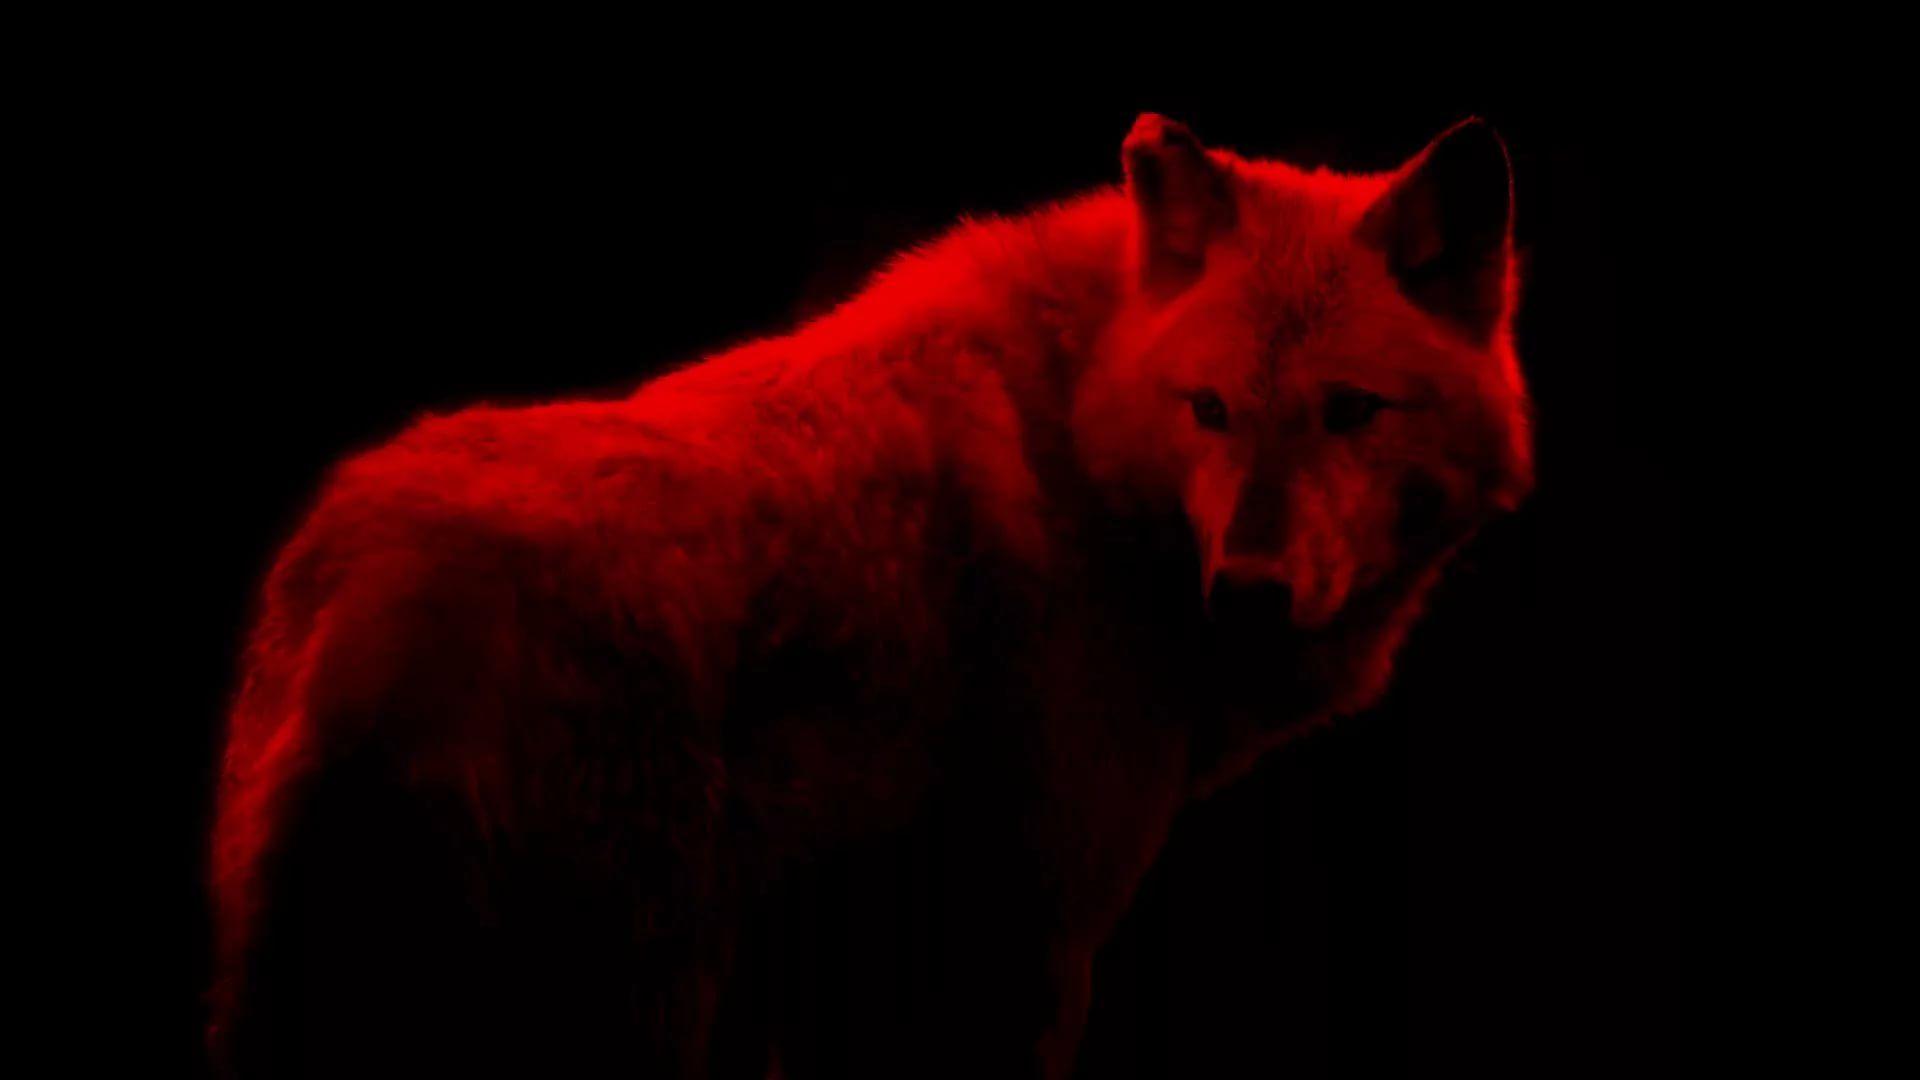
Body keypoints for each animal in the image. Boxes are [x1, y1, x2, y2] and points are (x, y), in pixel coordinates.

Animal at [208, 114, 1532, 1078]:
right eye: (1209, 409)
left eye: (1350, 410)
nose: (1248, 589)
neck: (1081, 439)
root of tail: (367, 604)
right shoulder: (1034, 944)